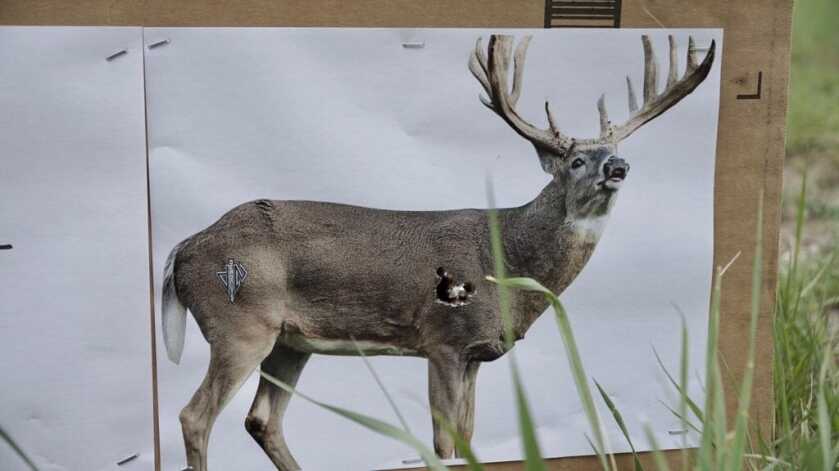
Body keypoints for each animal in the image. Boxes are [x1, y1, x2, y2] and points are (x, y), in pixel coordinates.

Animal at [160, 33, 715, 471]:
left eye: (616, 153)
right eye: (576, 160)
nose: (618, 167)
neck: (507, 259)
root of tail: (182, 249)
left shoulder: (476, 354)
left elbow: (468, 438)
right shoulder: (444, 339)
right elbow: (444, 444)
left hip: (290, 340)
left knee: (262, 419)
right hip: (240, 323)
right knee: (195, 416)